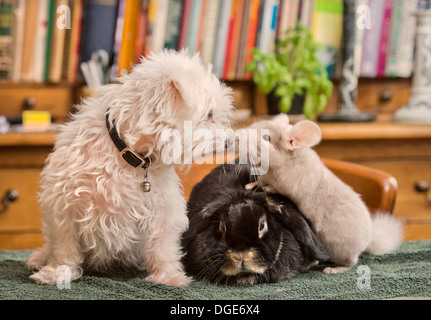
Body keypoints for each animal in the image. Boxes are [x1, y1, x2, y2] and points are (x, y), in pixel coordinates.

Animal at [27, 50, 235, 288]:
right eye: (209, 114)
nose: (231, 141)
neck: (131, 155)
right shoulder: (64, 204)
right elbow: (64, 246)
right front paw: (57, 273)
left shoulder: (164, 208)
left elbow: (163, 247)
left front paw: (168, 277)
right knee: (50, 245)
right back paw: (38, 258)